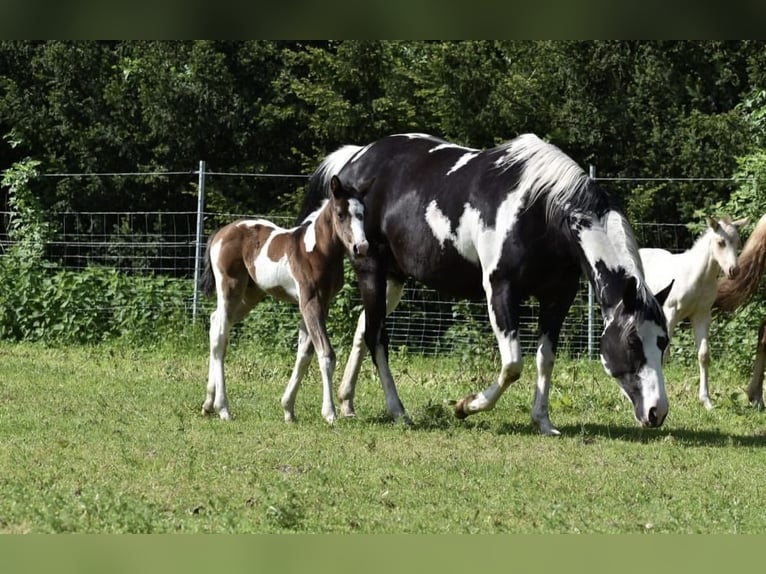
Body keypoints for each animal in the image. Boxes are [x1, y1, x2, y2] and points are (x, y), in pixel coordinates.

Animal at [199, 175, 370, 423]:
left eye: (362, 213)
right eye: (340, 214)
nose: (361, 247)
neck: (317, 251)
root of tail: (220, 233)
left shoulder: (322, 304)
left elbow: (305, 354)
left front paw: (288, 409)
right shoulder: (310, 302)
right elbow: (326, 354)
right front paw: (329, 413)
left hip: (251, 294)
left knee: (215, 323)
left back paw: (208, 403)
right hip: (230, 288)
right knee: (221, 335)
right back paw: (223, 408)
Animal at [298, 133, 674, 435]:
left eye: (664, 342)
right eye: (633, 342)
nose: (657, 412)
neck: (543, 210)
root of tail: (355, 159)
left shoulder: (558, 298)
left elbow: (545, 359)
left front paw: (543, 422)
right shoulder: (501, 291)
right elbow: (513, 365)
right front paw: (465, 406)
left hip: (393, 278)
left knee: (364, 326)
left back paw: (347, 403)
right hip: (370, 269)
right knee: (377, 339)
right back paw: (398, 412)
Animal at [639, 216, 747, 410]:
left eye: (738, 242)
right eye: (721, 242)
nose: (734, 271)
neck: (697, 276)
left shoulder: (702, 316)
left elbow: (703, 355)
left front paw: (706, 401)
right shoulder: (670, 314)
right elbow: (664, 354)